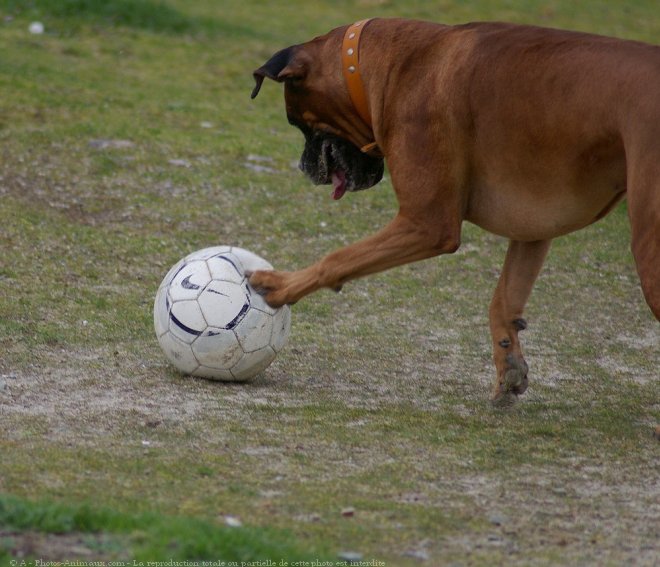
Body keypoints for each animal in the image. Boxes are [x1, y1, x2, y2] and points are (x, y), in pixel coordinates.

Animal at [249, 17, 660, 406]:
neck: (382, 68)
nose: (303, 168)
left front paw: (279, 285)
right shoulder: (532, 228)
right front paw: (508, 364)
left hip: (648, 251)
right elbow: (503, 299)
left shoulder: (427, 223)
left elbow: (337, 258)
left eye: (296, 121)